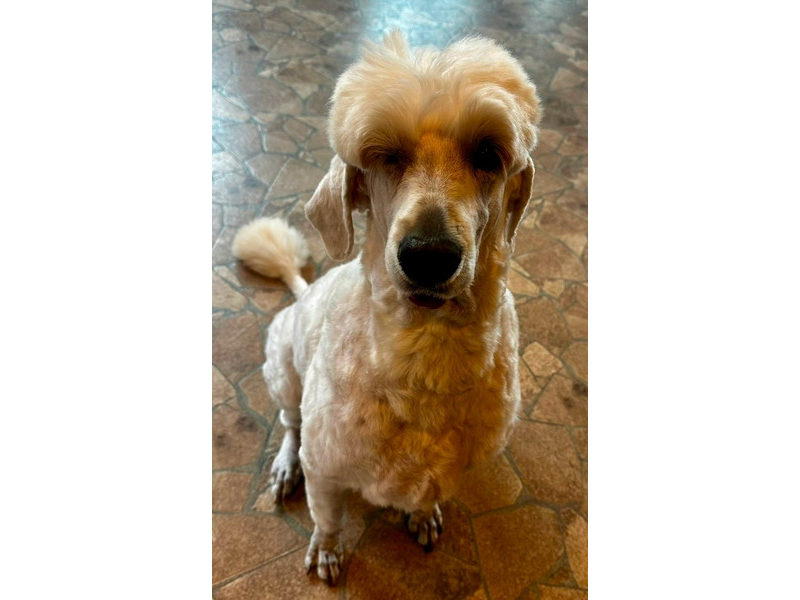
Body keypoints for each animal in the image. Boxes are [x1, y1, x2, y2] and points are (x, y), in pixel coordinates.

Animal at [233, 31, 540, 585]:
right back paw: (285, 466)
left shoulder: (448, 470)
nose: (428, 256)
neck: (425, 350)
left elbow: (427, 494)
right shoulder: (327, 465)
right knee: (290, 424)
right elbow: (327, 516)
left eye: (488, 153)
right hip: (284, 372)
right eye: (386, 155)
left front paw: (422, 515)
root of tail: (302, 294)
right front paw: (327, 551)